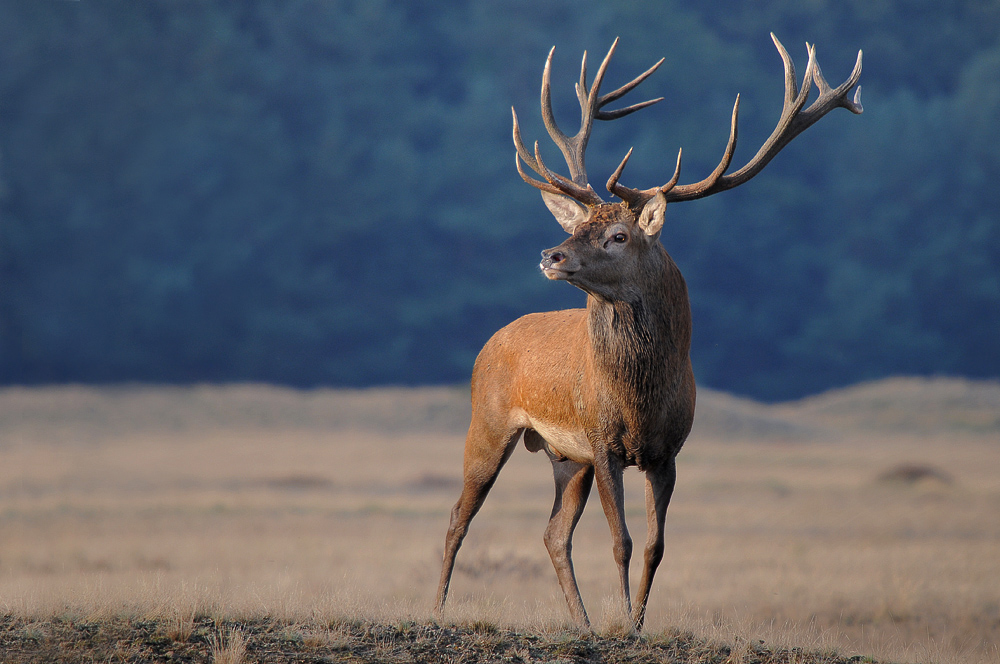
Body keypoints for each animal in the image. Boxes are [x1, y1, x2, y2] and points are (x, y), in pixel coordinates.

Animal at [434, 32, 864, 632]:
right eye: (578, 226)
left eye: (618, 235)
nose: (550, 254)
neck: (641, 399)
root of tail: (489, 342)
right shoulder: (603, 441)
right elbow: (622, 542)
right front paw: (622, 622)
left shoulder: (667, 452)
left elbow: (657, 547)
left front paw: (634, 626)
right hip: (491, 422)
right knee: (459, 514)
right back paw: (435, 610)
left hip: (565, 456)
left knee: (553, 534)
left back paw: (582, 623)